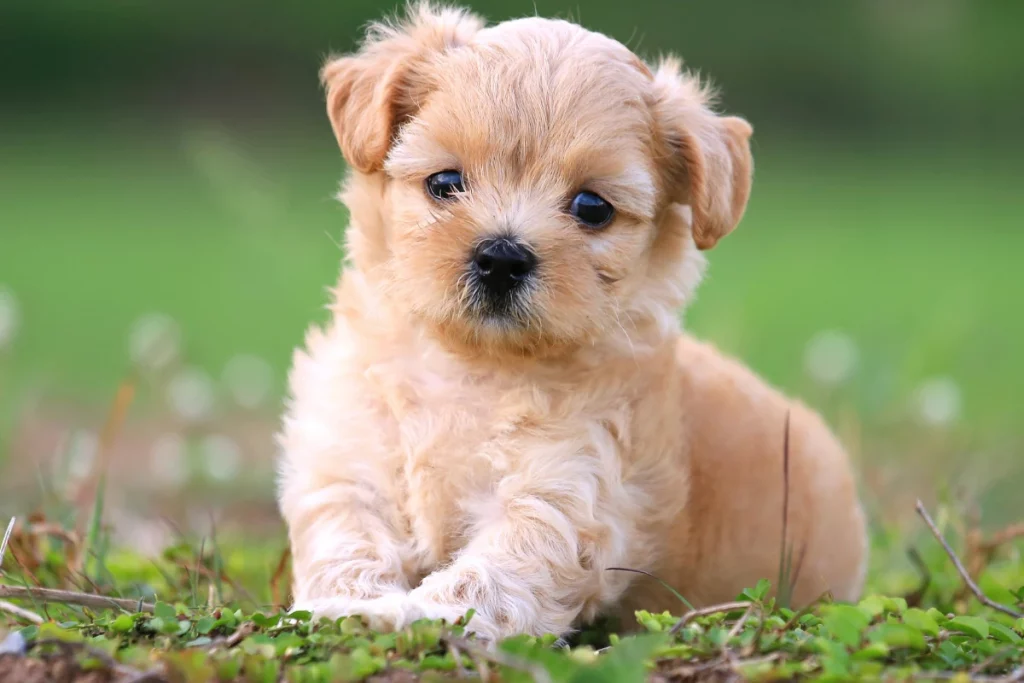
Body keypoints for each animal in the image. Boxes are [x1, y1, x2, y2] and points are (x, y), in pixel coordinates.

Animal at [276, 2, 868, 643]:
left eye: (592, 207)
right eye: (444, 183)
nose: (502, 257)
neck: (476, 366)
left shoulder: (570, 487)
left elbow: (497, 569)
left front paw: (427, 613)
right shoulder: (350, 458)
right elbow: (346, 538)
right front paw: (350, 605)